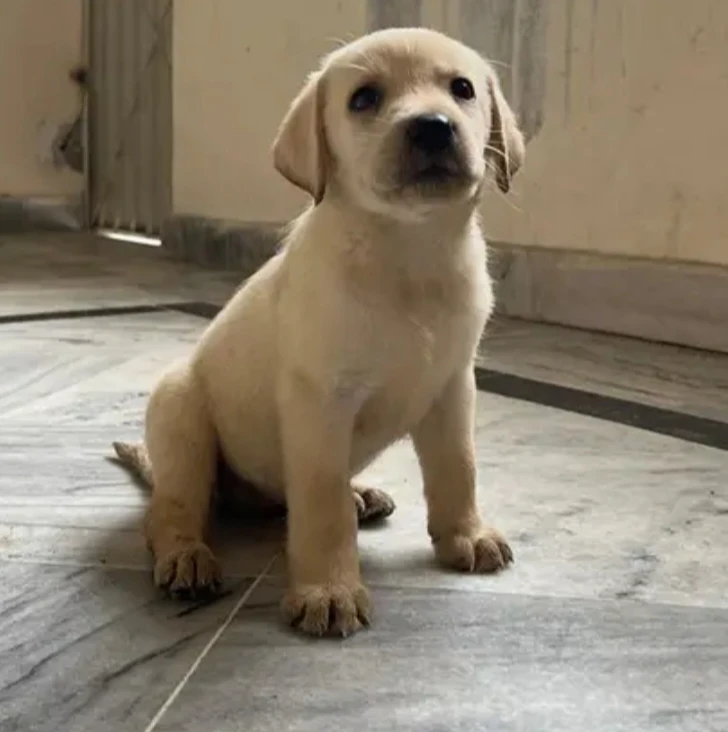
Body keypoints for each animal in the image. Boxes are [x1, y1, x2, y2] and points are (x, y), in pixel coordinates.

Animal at [112, 28, 524, 636]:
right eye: (364, 99)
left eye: (463, 89)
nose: (432, 125)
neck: (408, 254)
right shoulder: (322, 402)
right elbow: (322, 506)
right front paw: (329, 591)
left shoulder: (452, 389)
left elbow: (458, 467)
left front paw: (466, 535)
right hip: (181, 418)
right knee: (172, 510)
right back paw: (186, 555)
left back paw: (362, 494)